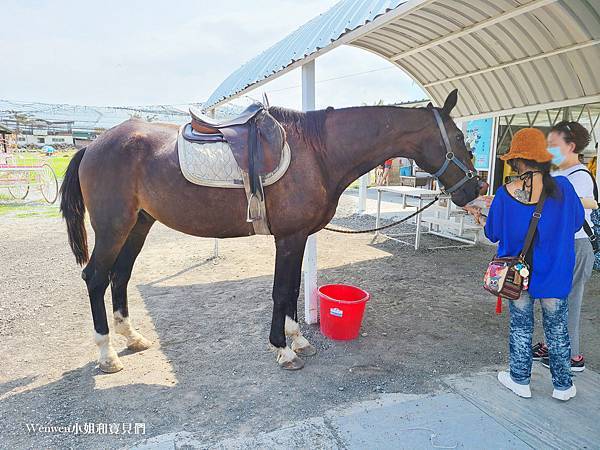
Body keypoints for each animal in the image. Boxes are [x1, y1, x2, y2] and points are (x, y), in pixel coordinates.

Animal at [58, 89, 486, 372]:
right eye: (460, 137)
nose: (475, 190)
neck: (319, 151)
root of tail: (93, 145)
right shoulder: (289, 238)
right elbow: (282, 291)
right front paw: (283, 349)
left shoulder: (299, 238)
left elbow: (293, 289)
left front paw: (298, 339)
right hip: (113, 227)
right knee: (95, 277)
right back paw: (106, 354)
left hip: (139, 224)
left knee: (120, 276)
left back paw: (132, 337)